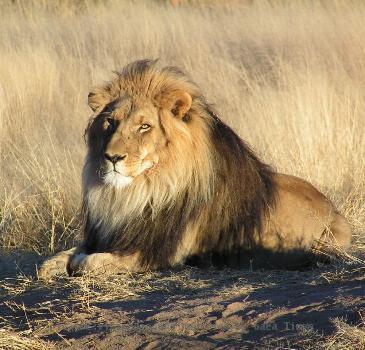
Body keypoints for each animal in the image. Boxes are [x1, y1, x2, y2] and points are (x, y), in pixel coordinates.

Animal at [37, 59, 350, 278]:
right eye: (110, 122)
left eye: (144, 126)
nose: (112, 157)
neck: (140, 191)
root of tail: (334, 208)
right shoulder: (110, 234)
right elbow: (55, 259)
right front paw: (55, 264)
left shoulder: (159, 252)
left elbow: (90, 263)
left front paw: (80, 262)